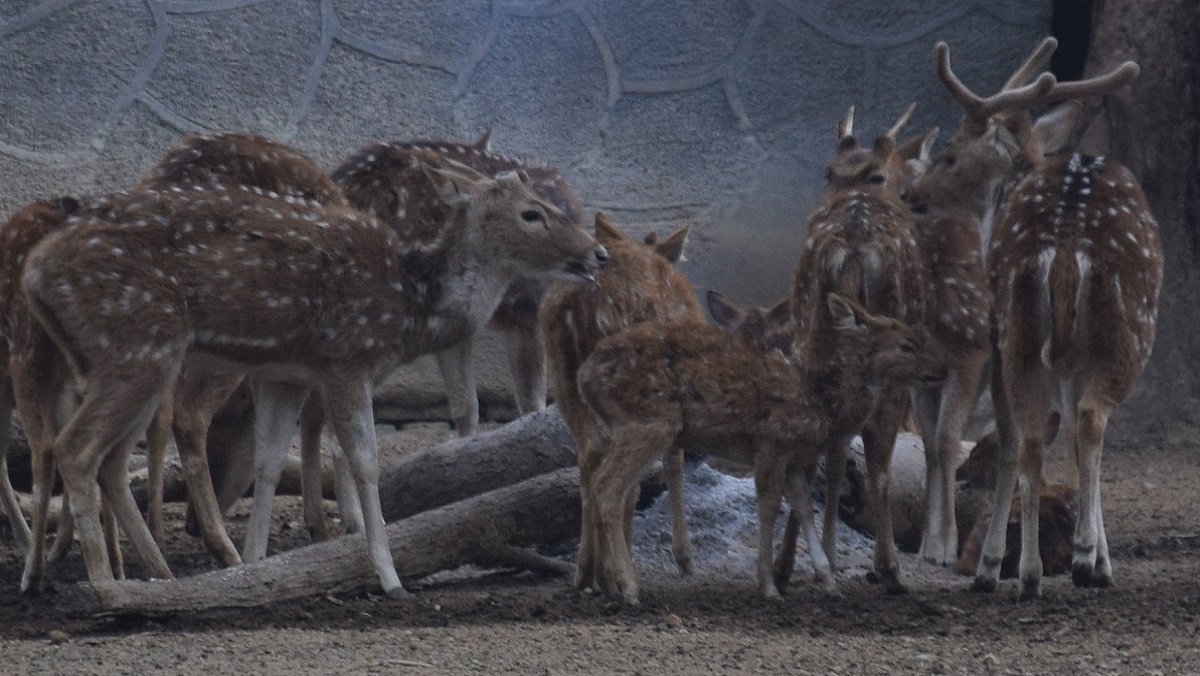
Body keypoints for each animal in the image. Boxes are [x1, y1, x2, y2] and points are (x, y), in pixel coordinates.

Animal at [14, 159, 604, 597]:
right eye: (532, 213)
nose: (596, 252)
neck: (409, 307)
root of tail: (35, 273)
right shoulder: (346, 357)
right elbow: (364, 461)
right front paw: (389, 577)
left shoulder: (287, 373)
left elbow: (270, 463)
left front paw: (255, 566)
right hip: (138, 344)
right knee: (75, 449)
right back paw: (104, 583)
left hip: (129, 358)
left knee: (110, 461)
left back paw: (158, 576)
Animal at [540, 212, 705, 597]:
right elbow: (673, 461)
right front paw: (685, 559)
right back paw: (614, 575)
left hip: (562, 370)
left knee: (590, 453)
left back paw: (587, 573)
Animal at [796, 102, 936, 593]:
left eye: (829, 171)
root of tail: (857, 247)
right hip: (894, 362)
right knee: (877, 456)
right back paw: (887, 566)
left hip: (808, 330)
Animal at [902, 38, 1156, 597]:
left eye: (949, 154)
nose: (911, 195)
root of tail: (1066, 237)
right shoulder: (1061, 359)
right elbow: (1071, 443)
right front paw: (1099, 557)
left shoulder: (997, 345)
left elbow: (1010, 443)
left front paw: (997, 560)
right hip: (1116, 335)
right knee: (1084, 422)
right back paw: (1072, 564)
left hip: (1024, 331)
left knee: (1041, 434)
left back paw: (1022, 569)